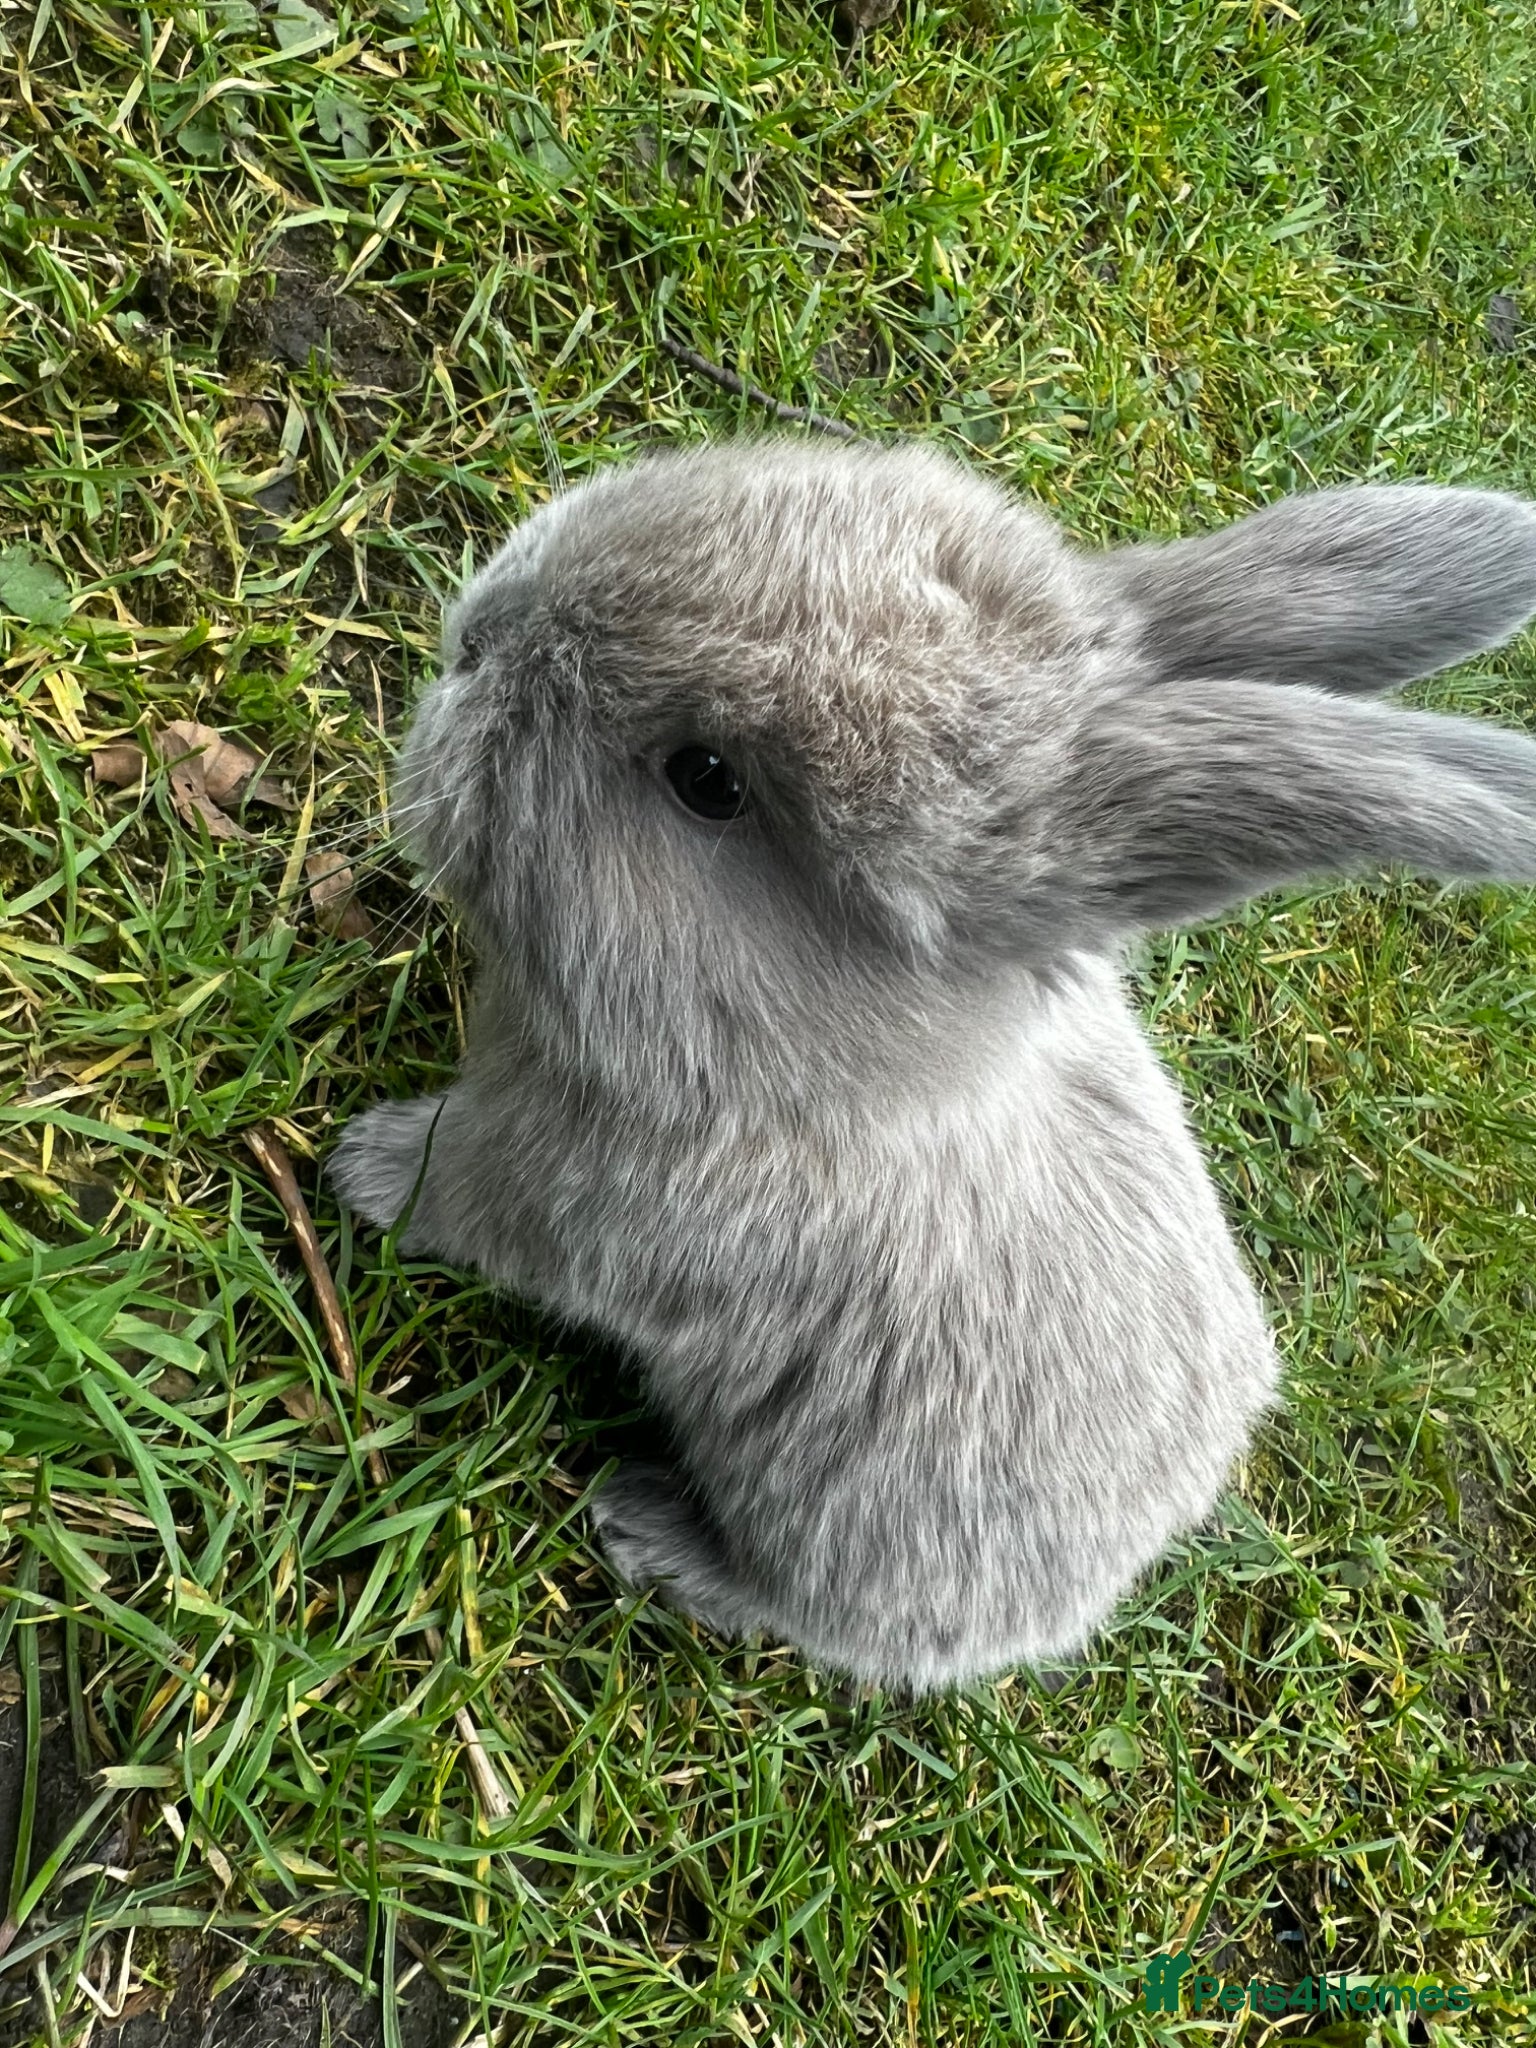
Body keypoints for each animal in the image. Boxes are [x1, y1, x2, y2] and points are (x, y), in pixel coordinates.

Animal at [329, 438, 1536, 1693]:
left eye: (707, 778)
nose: (479, 632)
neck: (817, 1088)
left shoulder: (558, 1197)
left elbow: (460, 1191)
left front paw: (360, 1167)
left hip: (825, 1527)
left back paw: (648, 1528)